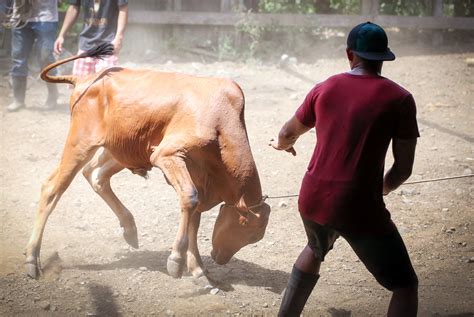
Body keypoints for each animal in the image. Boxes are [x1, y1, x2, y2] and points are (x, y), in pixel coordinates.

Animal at [25, 42, 270, 282]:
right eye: (248, 230)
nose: (220, 259)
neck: (221, 119)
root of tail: (84, 80)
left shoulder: (197, 173)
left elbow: (195, 215)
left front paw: (198, 270)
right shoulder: (167, 155)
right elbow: (190, 200)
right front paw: (177, 261)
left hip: (120, 150)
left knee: (95, 174)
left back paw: (129, 229)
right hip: (81, 144)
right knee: (52, 188)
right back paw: (32, 259)